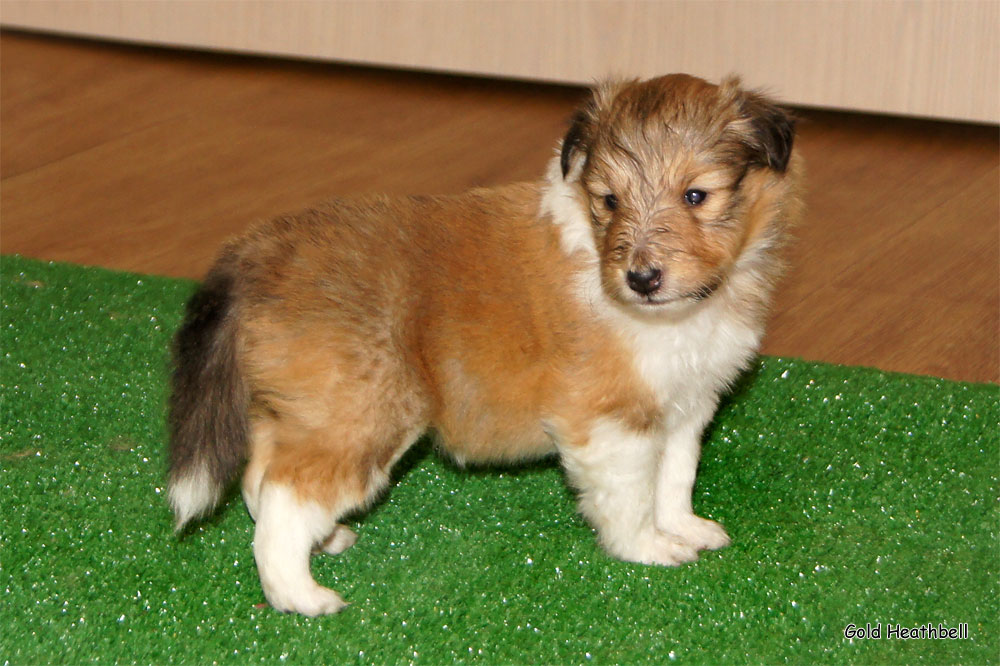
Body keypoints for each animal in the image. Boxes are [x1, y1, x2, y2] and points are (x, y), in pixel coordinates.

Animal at [164, 72, 804, 612]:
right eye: (609, 200)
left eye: (696, 195)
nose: (642, 280)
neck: (673, 313)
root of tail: (257, 251)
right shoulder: (610, 418)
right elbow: (630, 494)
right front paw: (649, 548)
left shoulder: (683, 406)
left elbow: (673, 478)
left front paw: (686, 529)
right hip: (362, 413)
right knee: (286, 497)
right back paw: (302, 597)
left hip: (302, 408)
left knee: (261, 478)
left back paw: (325, 543)